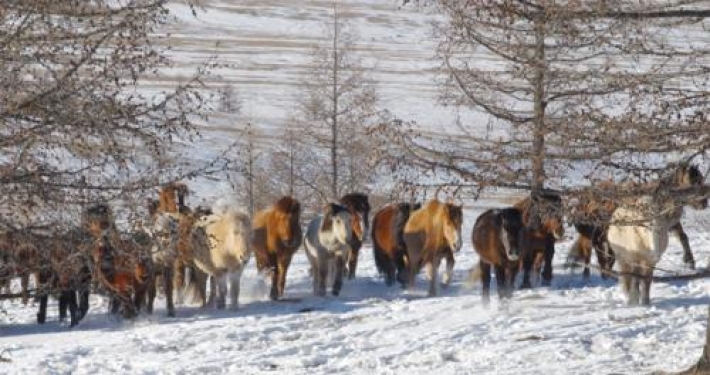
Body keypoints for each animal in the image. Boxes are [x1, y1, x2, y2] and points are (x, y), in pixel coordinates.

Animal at [608, 164, 708, 306]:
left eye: (700, 180)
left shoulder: (671, 224)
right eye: (693, 182)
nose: (704, 203)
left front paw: (690, 261)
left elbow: (683, 237)